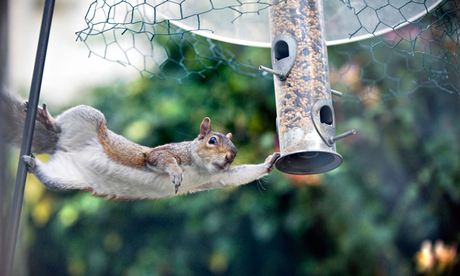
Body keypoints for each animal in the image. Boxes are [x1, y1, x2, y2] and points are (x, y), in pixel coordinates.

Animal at [0, 91, 278, 199]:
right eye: (212, 140)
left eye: (236, 148)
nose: (231, 156)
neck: (200, 168)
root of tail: (60, 146)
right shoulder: (165, 153)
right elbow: (160, 158)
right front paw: (175, 173)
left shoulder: (216, 178)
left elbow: (236, 177)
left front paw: (268, 163)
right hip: (88, 116)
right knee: (58, 127)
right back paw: (47, 120)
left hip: (65, 177)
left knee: (49, 174)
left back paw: (34, 165)